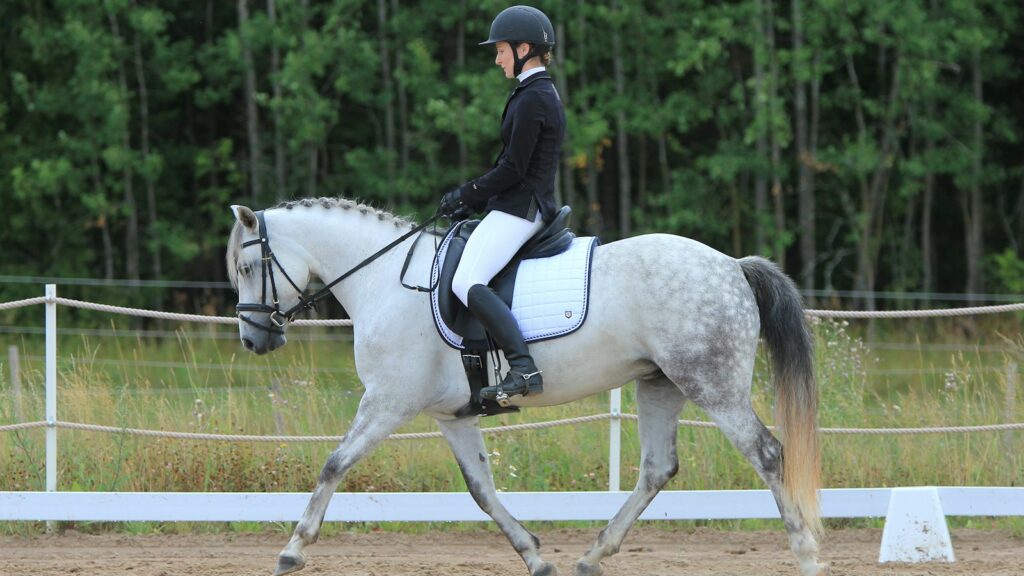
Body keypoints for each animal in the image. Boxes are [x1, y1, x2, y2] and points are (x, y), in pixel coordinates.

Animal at [226, 197, 827, 576]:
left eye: (249, 266)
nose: (254, 339)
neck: (385, 281)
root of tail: (732, 265)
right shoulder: (453, 415)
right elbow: (482, 490)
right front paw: (536, 557)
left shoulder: (388, 403)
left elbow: (333, 465)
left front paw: (292, 551)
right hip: (661, 383)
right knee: (658, 469)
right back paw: (592, 556)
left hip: (712, 384)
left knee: (768, 454)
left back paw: (807, 556)